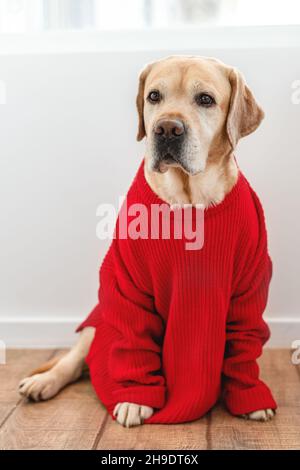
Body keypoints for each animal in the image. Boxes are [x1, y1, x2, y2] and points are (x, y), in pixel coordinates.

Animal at [18, 55, 276, 426]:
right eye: (154, 96)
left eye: (206, 100)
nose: (167, 129)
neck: (189, 201)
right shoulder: (128, 288)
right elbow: (134, 343)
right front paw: (135, 398)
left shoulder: (248, 292)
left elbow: (243, 349)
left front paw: (250, 396)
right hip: (100, 316)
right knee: (75, 359)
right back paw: (43, 382)